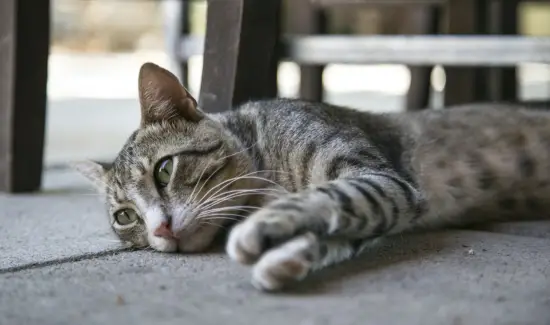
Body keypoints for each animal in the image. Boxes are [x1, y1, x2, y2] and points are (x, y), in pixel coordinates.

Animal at [74, 62, 550, 290]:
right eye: (125, 217)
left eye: (165, 169)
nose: (160, 228)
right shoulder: (390, 202)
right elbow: (344, 228)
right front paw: (288, 258)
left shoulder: (383, 180)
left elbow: (334, 195)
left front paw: (263, 230)